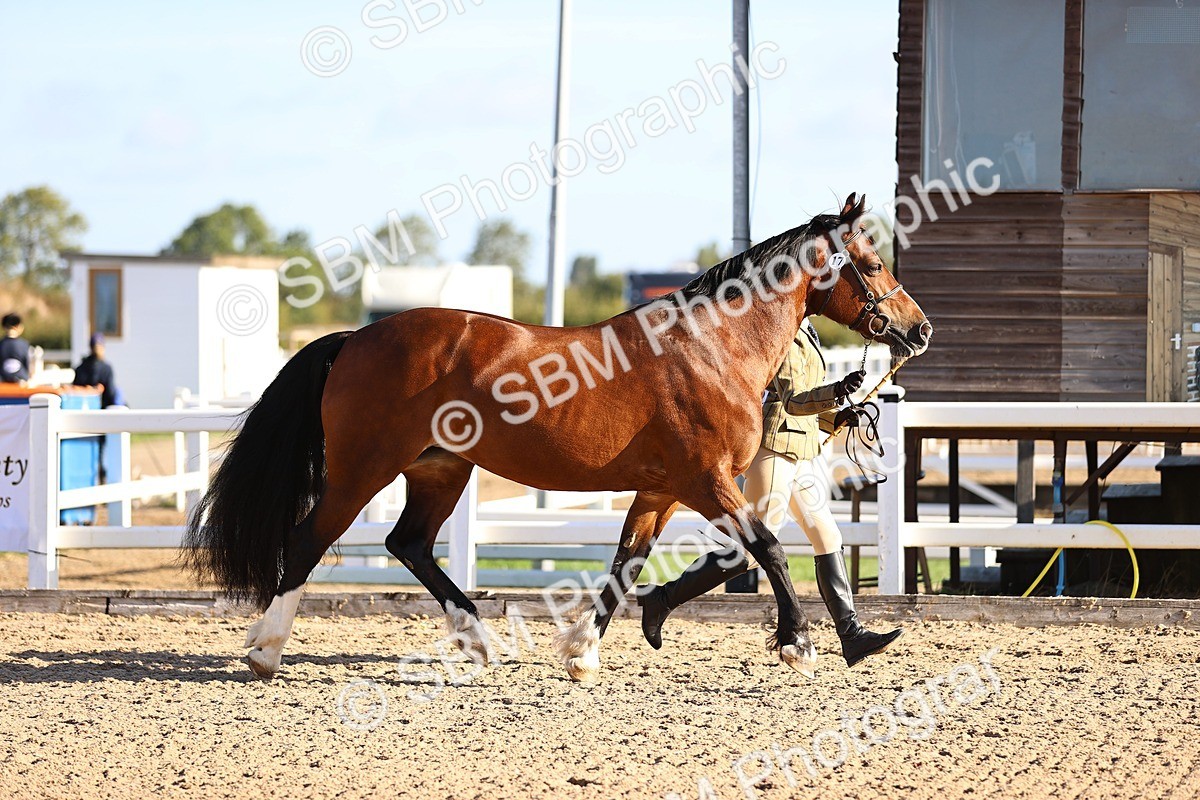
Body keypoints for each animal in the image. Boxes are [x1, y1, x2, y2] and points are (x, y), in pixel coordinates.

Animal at [183, 193, 932, 682]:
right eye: (871, 262)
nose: (918, 330)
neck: (710, 347)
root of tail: (354, 339)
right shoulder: (705, 481)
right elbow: (770, 548)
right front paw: (797, 644)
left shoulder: (659, 490)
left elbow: (628, 564)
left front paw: (581, 654)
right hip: (365, 469)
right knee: (309, 540)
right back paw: (265, 650)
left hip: (440, 468)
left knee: (409, 544)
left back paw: (479, 643)